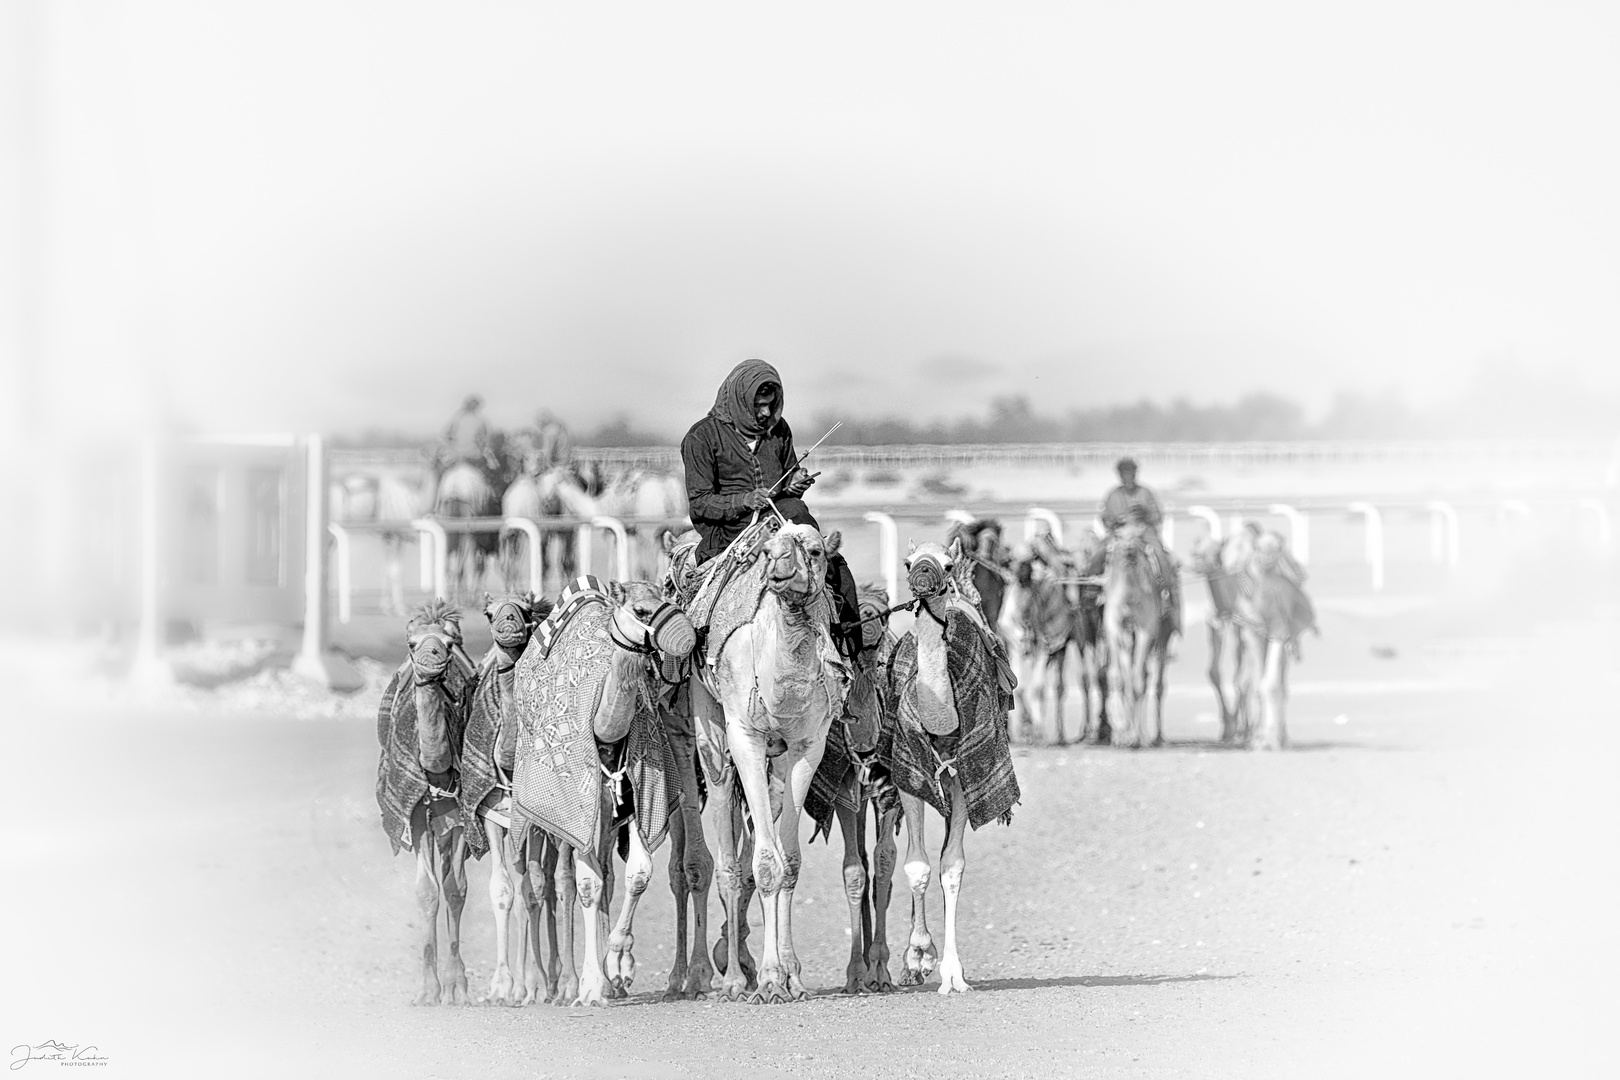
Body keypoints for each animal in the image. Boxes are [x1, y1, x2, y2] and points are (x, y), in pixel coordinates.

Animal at [374, 599, 479, 1003]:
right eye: (411, 643)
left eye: (450, 644)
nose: (431, 657)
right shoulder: (418, 815)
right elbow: (427, 892)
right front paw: (428, 989)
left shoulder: (461, 816)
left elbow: (455, 890)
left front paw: (456, 986)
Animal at [511, 579, 696, 1010]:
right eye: (641, 611)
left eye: (668, 599)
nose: (687, 637)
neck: (605, 733)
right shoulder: (581, 808)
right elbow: (587, 886)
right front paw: (592, 986)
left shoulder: (633, 803)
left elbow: (637, 874)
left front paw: (619, 963)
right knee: (571, 878)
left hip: (611, 821)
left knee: (609, 874)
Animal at [881, 540, 1017, 997]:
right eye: (908, 561)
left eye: (947, 562)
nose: (922, 576)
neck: (940, 719)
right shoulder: (909, 774)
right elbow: (917, 867)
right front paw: (918, 954)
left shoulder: (961, 777)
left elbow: (951, 867)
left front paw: (952, 974)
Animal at [1095, 521, 1172, 744]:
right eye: (1119, 537)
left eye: (1137, 538)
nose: (1129, 549)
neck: (1129, 599)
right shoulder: (1115, 630)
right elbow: (1121, 680)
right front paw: (1123, 736)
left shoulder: (1146, 630)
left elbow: (1138, 681)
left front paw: (1139, 737)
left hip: (1161, 635)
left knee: (1154, 681)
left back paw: (1156, 737)